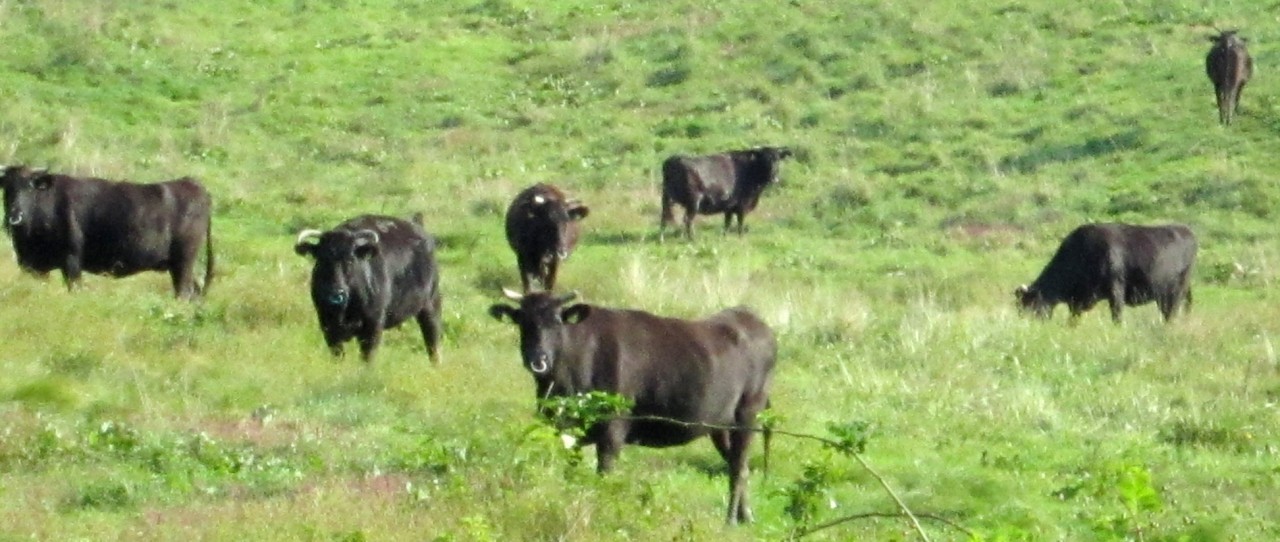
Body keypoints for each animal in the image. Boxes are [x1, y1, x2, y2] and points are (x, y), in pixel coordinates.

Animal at [0, 165, 215, 301]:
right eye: (7, 188)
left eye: (29, 188)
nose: (15, 215)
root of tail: (193, 184)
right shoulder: (34, 267)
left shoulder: (71, 261)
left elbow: (75, 288)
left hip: (184, 262)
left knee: (184, 292)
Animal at [293, 213, 442, 363]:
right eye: (321, 260)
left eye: (350, 260)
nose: (336, 292)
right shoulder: (327, 327)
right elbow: (338, 356)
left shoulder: (372, 326)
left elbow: (367, 358)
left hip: (431, 305)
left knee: (433, 343)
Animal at [486, 290, 773, 525]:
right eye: (523, 321)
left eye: (557, 322)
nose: (538, 359)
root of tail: (752, 319)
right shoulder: (569, 431)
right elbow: (572, 473)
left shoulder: (613, 429)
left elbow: (604, 476)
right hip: (719, 425)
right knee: (739, 465)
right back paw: (746, 516)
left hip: (749, 413)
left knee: (737, 467)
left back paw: (731, 520)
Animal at [660, 148, 788, 242]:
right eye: (764, 160)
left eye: (778, 160)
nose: (774, 177)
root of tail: (673, 159)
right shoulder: (742, 206)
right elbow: (740, 223)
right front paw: (741, 238)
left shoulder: (729, 207)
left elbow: (727, 223)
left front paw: (724, 237)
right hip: (693, 201)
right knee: (687, 220)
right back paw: (692, 239)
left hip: (667, 198)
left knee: (664, 218)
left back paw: (661, 239)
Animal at [1013, 224, 1192, 324]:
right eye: (1019, 308)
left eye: (1031, 306)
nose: (1026, 326)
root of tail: (1185, 229)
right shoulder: (1076, 301)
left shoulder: (1116, 291)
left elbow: (1117, 317)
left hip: (1176, 292)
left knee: (1171, 313)